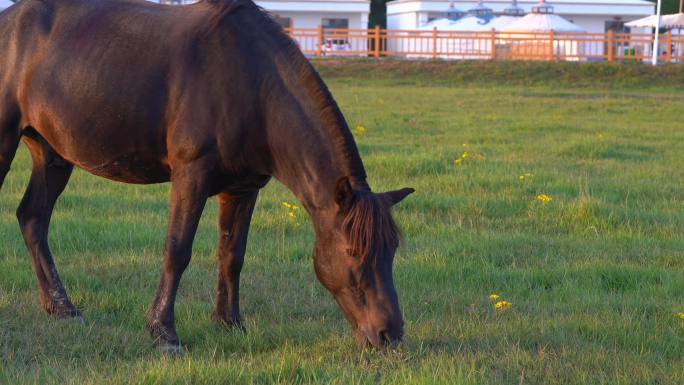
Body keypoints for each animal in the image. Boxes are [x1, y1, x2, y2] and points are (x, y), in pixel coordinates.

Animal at [0, 0, 414, 352]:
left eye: (391, 250)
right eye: (352, 252)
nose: (389, 334)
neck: (252, 84)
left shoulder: (243, 188)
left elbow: (232, 255)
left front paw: (229, 322)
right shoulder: (191, 176)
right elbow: (177, 250)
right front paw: (164, 332)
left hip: (52, 154)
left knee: (33, 218)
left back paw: (61, 307)